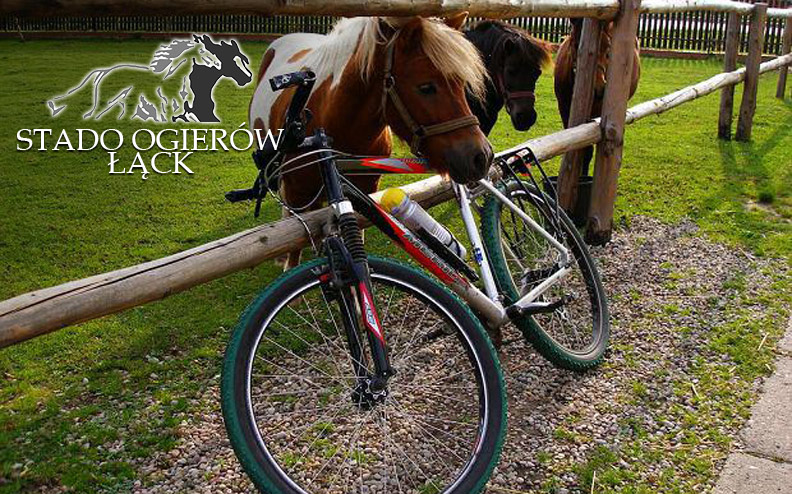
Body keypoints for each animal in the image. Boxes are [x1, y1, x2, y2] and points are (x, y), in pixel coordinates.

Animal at [250, 14, 491, 270]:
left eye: (461, 83)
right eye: (426, 87)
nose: (482, 157)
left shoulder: (366, 190)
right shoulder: (300, 196)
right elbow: (294, 248)